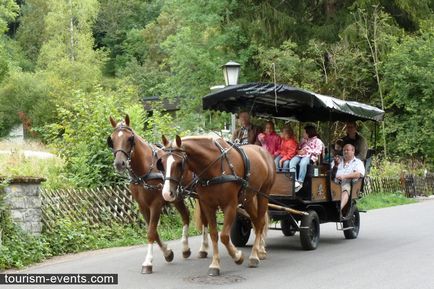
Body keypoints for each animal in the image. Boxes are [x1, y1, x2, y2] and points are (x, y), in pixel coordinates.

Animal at [108, 115, 210, 272]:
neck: (145, 169)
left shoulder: (156, 204)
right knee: (186, 216)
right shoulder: (143, 206)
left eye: (130, 138)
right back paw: (186, 249)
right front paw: (168, 253)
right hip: (176, 197)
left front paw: (148, 262)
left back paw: (203, 248)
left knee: (204, 219)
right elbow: (154, 232)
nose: (120, 163)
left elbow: (151, 231)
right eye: (112, 140)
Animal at [159, 135, 274, 274]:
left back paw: (255, 256)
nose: (167, 193)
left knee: (261, 222)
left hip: (263, 194)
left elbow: (224, 236)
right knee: (256, 222)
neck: (214, 169)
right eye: (162, 163)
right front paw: (215, 264)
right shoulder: (208, 206)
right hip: (248, 198)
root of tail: (263, 151)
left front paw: (237, 256)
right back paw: (256, 252)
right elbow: (214, 234)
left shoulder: (230, 205)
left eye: (179, 163)